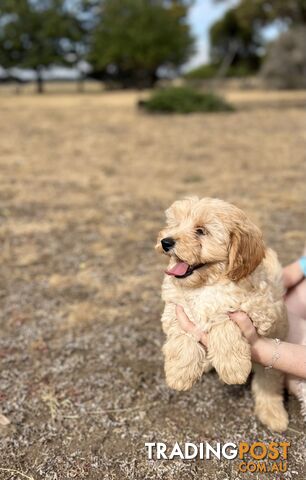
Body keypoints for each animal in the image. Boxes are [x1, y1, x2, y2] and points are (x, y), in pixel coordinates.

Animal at [157, 197, 288, 434]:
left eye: (201, 231)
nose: (166, 242)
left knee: (268, 383)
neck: (207, 285)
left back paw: (274, 415)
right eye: (176, 223)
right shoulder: (174, 308)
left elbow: (225, 320)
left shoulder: (261, 311)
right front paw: (179, 373)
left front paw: (233, 368)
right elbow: (181, 334)